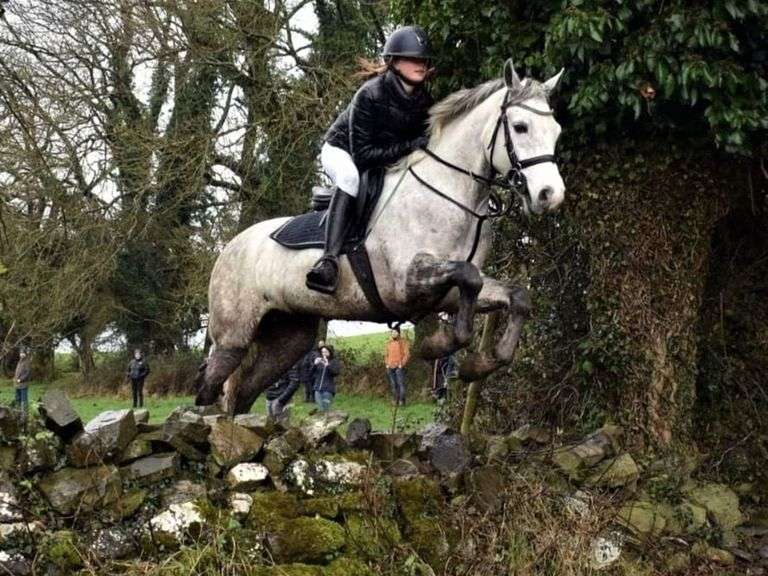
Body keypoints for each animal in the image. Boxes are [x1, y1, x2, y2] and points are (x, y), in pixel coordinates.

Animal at [195, 59, 565, 414]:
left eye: (557, 131)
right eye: (520, 127)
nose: (550, 195)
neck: (450, 193)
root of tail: (230, 247)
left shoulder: (444, 293)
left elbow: (514, 296)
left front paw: (479, 364)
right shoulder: (405, 281)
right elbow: (469, 278)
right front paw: (436, 345)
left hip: (288, 338)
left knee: (242, 394)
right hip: (233, 335)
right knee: (213, 388)